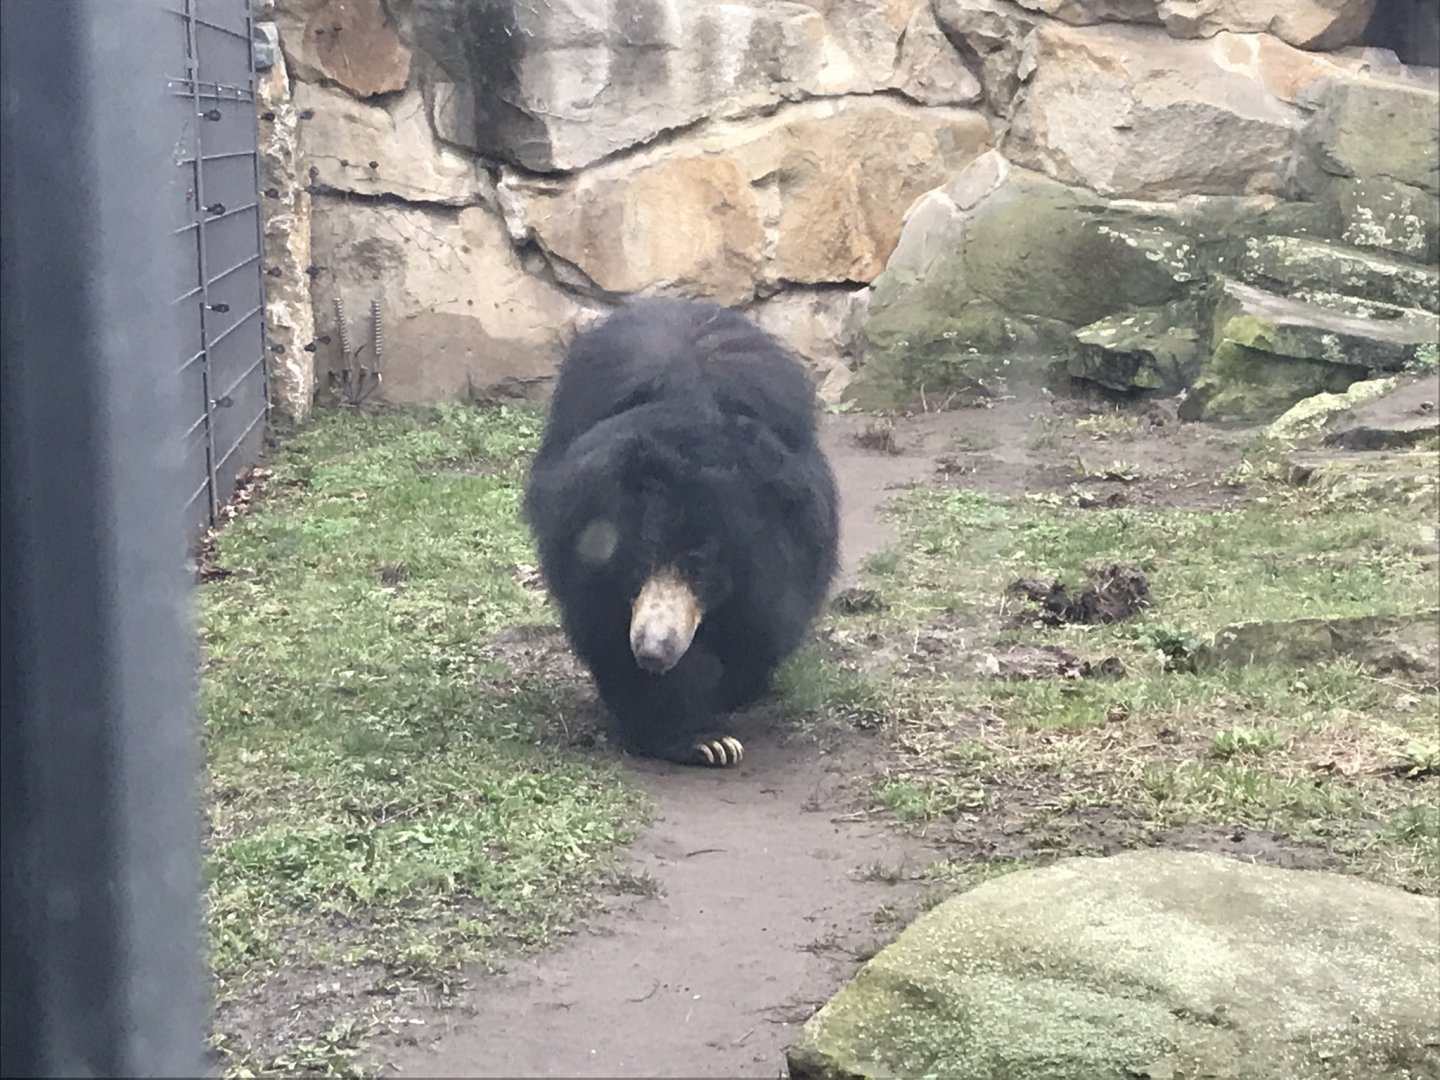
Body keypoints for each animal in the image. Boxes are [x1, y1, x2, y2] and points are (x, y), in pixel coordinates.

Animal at [523, 298, 840, 768]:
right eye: (635, 563)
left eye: (701, 570)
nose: (654, 651)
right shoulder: (582, 536)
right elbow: (606, 626)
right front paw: (700, 739)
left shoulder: (784, 546)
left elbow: (760, 622)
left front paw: (726, 703)